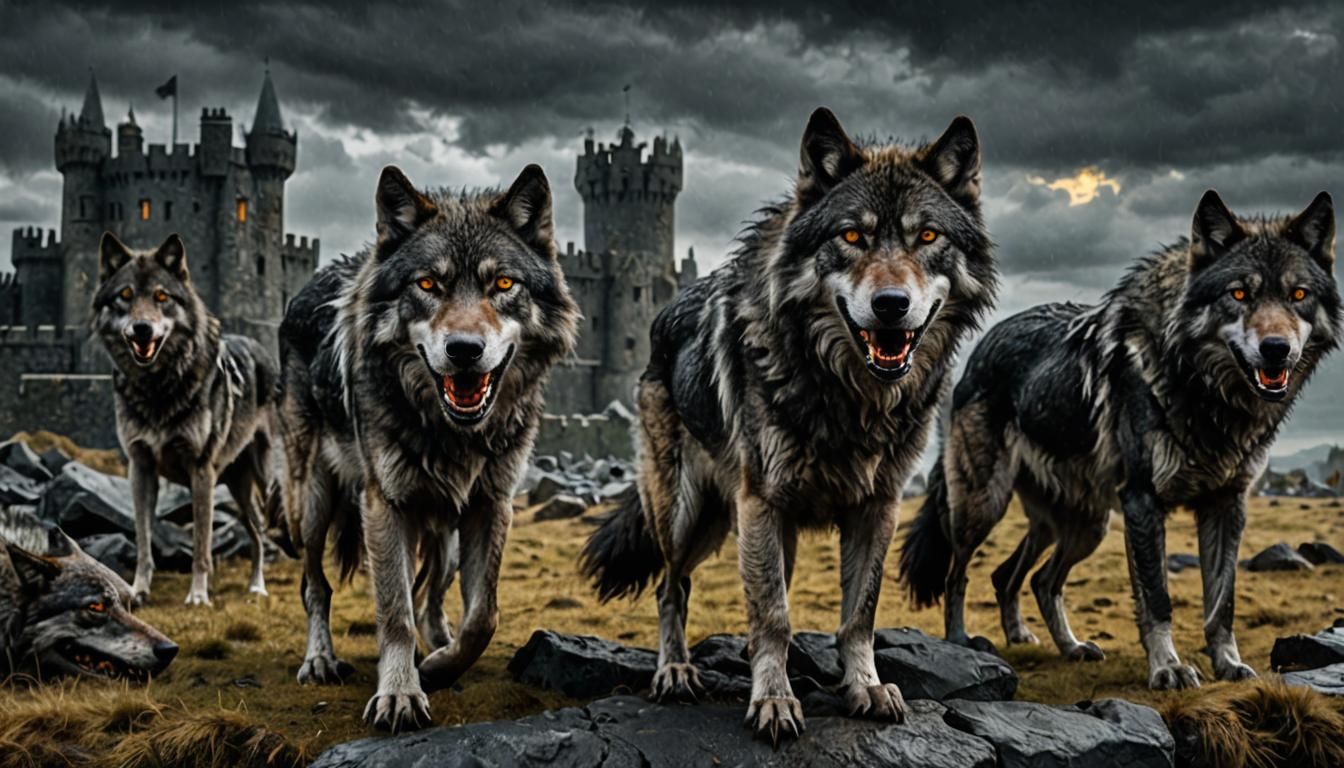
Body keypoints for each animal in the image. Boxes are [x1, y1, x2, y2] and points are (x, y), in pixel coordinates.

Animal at [92, 232, 278, 607]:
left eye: (161, 296)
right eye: (125, 296)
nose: (142, 329)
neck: (158, 389)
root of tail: (260, 346)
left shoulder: (200, 470)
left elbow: (201, 548)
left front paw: (198, 596)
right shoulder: (140, 469)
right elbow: (144, 542)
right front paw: (138, 590)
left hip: (264, 479)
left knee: (268, 530)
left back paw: (261, 586)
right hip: (237, 489)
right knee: (254, 531)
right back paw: (254, 585)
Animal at [278, 164, 579, 732]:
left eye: (503, 283)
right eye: (427, 284)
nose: (464, 350)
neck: (451, 432)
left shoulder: (492, 503)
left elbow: (483, 614)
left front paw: (439, 666)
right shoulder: (385, 505)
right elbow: (394, 611)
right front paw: (399, 693)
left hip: (443, 529)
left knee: (432, 590)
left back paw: (436, 641)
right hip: (313, 502)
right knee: (316, 587)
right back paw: (320, 659)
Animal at [581, 108, 996, 742]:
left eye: (928, 237)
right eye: (850, 236)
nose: (891, 305)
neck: (848, 394)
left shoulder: (879, 505)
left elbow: (858, 613)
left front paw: (864, 687)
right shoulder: (761, 502)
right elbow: (772, 614)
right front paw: (774, 701)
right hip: (686, 514)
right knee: (671, 586)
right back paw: (675, 671)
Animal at [900, 190, 1340, 689]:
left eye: (1298, 295)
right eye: (1239, 294)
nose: (1276, 350)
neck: (1204, 392)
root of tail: (979, 351)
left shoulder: (1228, 504)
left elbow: (1221, 601)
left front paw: (1229, 665)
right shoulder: (1142, 502)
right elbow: (1157, 598)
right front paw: (1168, 668)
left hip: (1082, 527)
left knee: (1026, 579)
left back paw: (1059, 644)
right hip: (985, 507)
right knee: (959, 574)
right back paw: (962, 640)